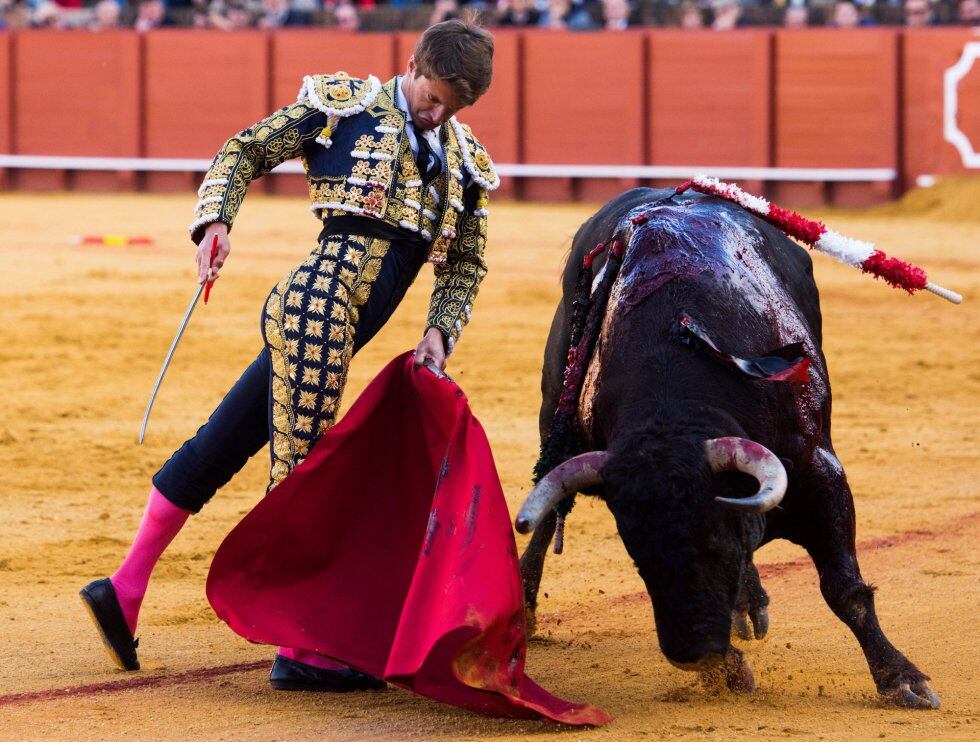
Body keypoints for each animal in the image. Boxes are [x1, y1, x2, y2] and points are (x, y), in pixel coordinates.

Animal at [520, 189, 940, 712]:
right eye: (637, 555)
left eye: (716, 542)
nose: (691, 652)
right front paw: (727, 670)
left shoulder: (821, 472)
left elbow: (844, 587)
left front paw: (902, 679)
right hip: (552, 402)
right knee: (547, 501)